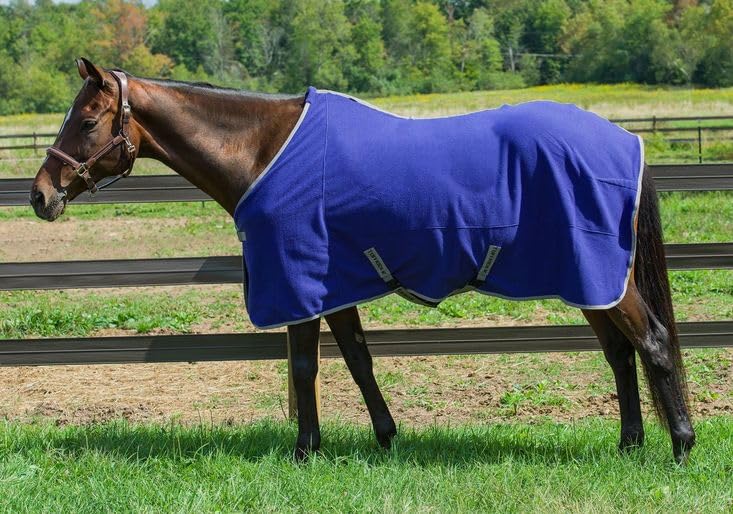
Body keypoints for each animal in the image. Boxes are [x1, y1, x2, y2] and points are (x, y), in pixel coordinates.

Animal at [30, 58, 695, 463]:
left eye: (86, 121)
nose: (40, 195)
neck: (263, 150)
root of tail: (624, 140)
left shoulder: (298, 279)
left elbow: (305, 367)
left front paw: (304, 451)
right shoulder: (333, 283)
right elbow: (356, 360)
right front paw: (384, 436)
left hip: (601, 276)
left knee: (653, 342)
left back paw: (681, 445)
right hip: (591, 281)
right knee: (620, 354)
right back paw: (630, 444)